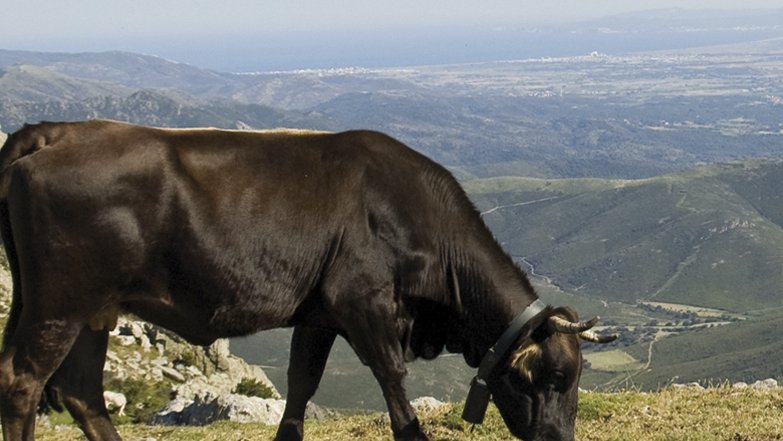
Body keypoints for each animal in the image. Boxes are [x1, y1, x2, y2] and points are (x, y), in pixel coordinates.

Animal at [0, 120, 615, 441]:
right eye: (554, 377)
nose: (561, 440)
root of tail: (55, 132)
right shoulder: (361, 302)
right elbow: (392, 381)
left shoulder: (318, 314)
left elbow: (300, 385)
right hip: (60, 302)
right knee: (24, 382)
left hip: (87, 310)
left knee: (80, 391)